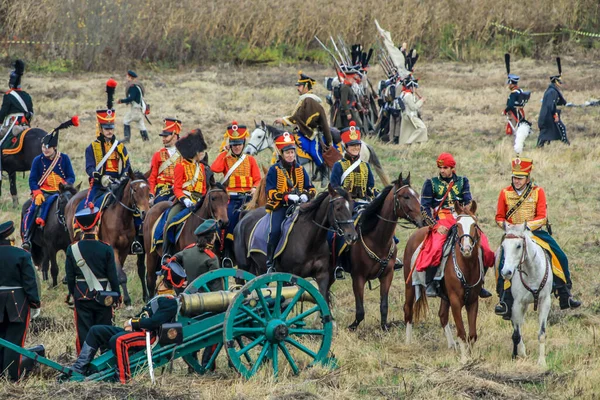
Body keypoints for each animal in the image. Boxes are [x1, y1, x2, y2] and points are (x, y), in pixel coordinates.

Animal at [64, 171, 150, 306]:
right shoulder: (113, 248)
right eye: (135, 190)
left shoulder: (125, 249)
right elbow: (121, 275)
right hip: (75, 239)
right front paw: (127, 301)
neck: (121, 218)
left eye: (148, 189)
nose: (145, 213)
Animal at [344, 172, 424, 332]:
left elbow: (384, 305)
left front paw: (384, 327)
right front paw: (352, 326)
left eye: (417, 195)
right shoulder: (358, 277)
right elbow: (360, 309)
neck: (377, 240)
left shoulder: (387, 275)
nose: (422, 220)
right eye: (406, 196)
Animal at [400, 202, 486, 360]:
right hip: (409, 285)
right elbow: (462, 332)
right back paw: (408, 342)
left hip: (444, 295)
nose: (466, 248)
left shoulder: (472, 300)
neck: (466, 268)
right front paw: (464, 358)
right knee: (408, 309)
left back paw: (451, 345)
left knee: (442, 315)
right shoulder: (455, 300)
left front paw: (470, 355)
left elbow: (472, 334)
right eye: (457, 225)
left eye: (474, 225)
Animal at [500, 220, 552, 368]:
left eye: (518, 246)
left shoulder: (545, 302)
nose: (506, 272)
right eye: (503, 246)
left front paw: (542, 362)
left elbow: (541, 333)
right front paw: (515, 356)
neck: (531, 272)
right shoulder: (517, 304)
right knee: (516, 325)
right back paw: (522, 352)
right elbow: (516, 334)